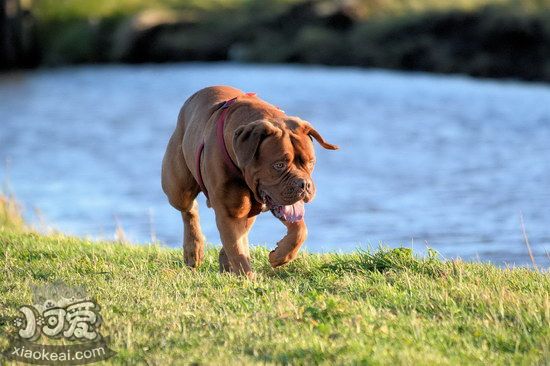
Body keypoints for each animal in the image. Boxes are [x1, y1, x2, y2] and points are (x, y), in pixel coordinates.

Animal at [162, 86, 338, 278]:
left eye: (311, 163)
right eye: (279, 165)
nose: (304, 185)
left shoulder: (276, 203)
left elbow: (300, 230)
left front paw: (280, 256)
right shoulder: (229, 212)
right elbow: (237, 251)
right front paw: (248, 279)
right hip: (178, 187)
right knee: (189, 208)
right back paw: (194, 250)